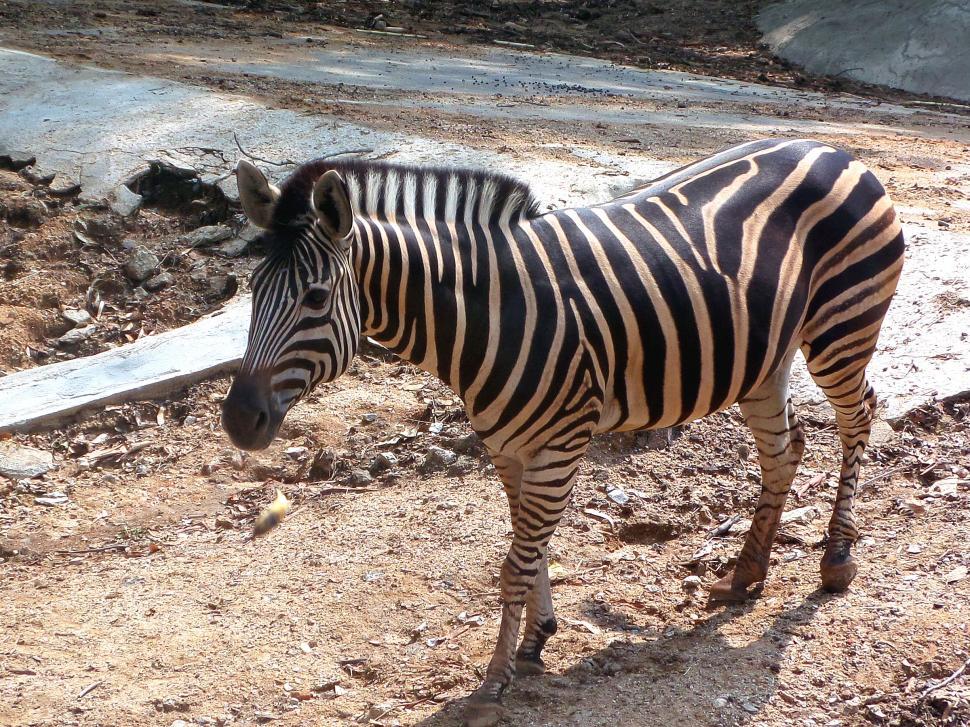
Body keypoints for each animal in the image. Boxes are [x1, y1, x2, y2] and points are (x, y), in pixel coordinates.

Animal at [221, 139, 904, 726]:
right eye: (252, 290)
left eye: (315, 298)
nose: (237, 421)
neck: (488, 314)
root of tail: (832, 149)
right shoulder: (507, 445)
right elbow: (531, 547)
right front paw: (535, 641)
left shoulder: (562, 441)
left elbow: (515, 564)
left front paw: (493, 684)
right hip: (765, 355)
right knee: (784, 448)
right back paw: (747, 573)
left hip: (842, 328)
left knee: (859, 415)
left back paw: (836, 558)